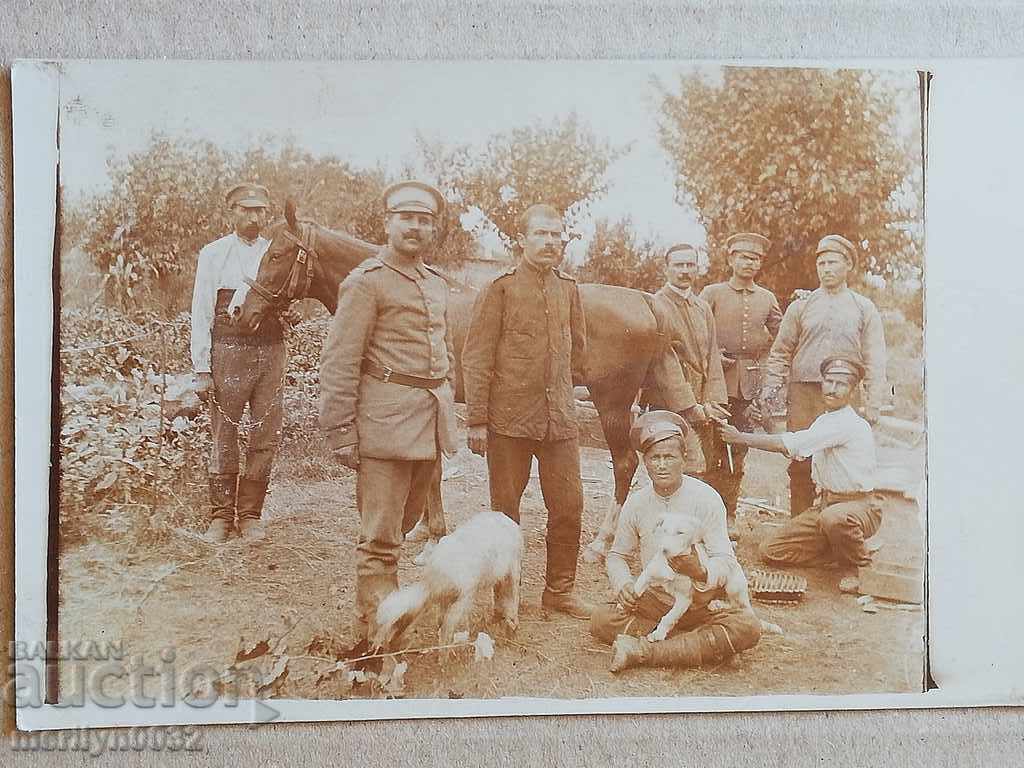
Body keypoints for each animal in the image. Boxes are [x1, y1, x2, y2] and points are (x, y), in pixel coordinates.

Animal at [235, 201, 692, 561]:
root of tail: (644, 300)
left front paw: (434, 536)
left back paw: (600, 543)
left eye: (277, 254)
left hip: (611, 403)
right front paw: (422, 528)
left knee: (625, 464)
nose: (242, 312)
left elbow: (435, 470)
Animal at [372, 514, 524, 651]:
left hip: (514, 565)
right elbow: (441, 623)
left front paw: (445, 659)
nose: (377, 647)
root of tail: (507, 519)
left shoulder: (462, 599)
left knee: (513, 592)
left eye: (395, 623)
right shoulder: (443, 602)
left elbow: (447, 630)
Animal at [630, 514, 753, 647]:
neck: (670, 563)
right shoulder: (648, 574)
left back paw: (718, 604)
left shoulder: (684, 597)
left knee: (737, 604)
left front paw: (658, 634)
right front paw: (626, 603)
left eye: (680, 533)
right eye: (664, 531)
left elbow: (669, 617)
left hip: (733, 585)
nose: (664, 550)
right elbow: (636, 589)